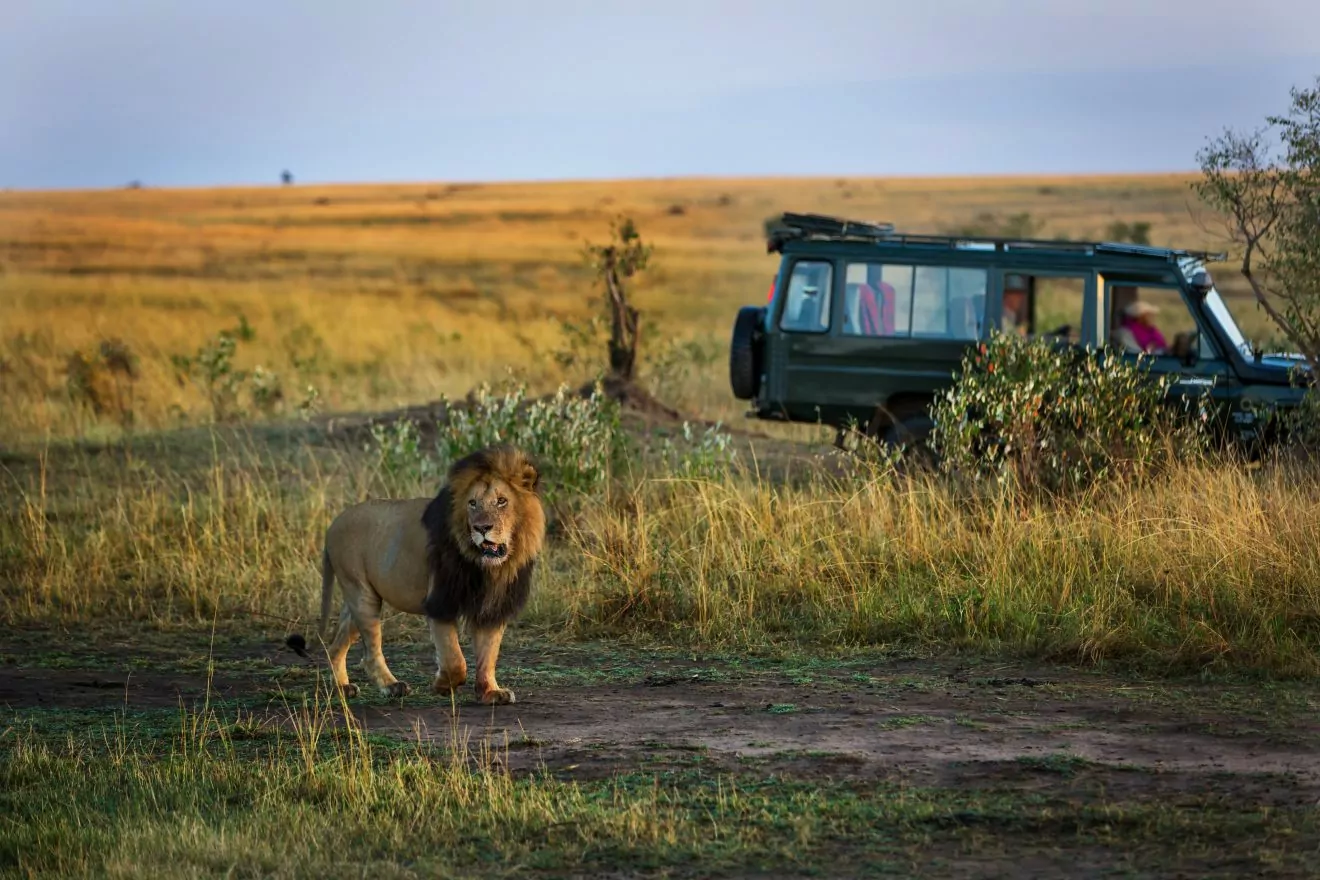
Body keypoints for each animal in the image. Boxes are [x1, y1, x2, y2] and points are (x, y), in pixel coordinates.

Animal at [311, 443, 543, 707]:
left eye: (502, 501)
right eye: (472, 503)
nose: (481, 528)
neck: (490, 568)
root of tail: (332, 525)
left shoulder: (493, 606)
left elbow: (488, 654)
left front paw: (490, 692)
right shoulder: (440, 601)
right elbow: (455, 659)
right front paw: (443, 685)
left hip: (357, 598)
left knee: (335, 646)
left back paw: (342, 688)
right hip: (361, 592)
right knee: (370, 651)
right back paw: (392, 686)